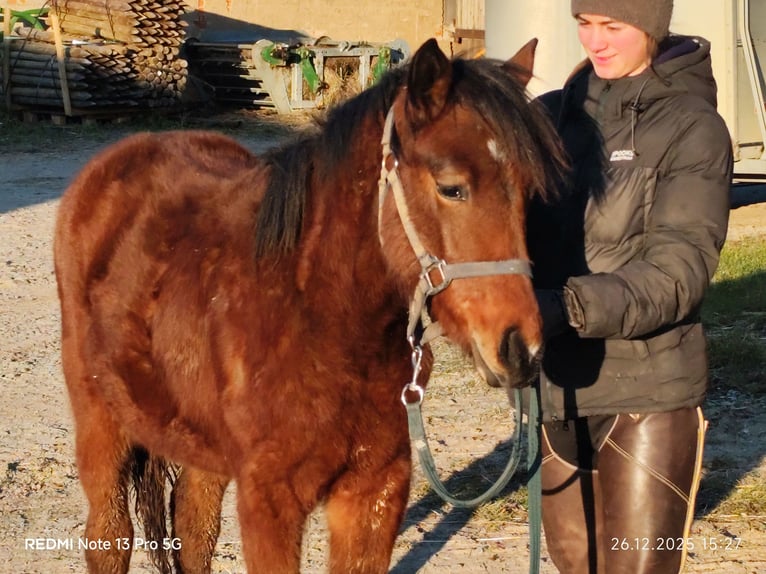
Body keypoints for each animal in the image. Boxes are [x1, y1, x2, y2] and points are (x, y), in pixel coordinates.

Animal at [54, 38, 566, 573]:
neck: (323, 324)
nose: (521, 350)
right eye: (451, 187)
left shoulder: (375, 490)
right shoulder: (269, 500)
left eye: (527, 193)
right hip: (100, 423)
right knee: (110, 536)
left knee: (193, 530)